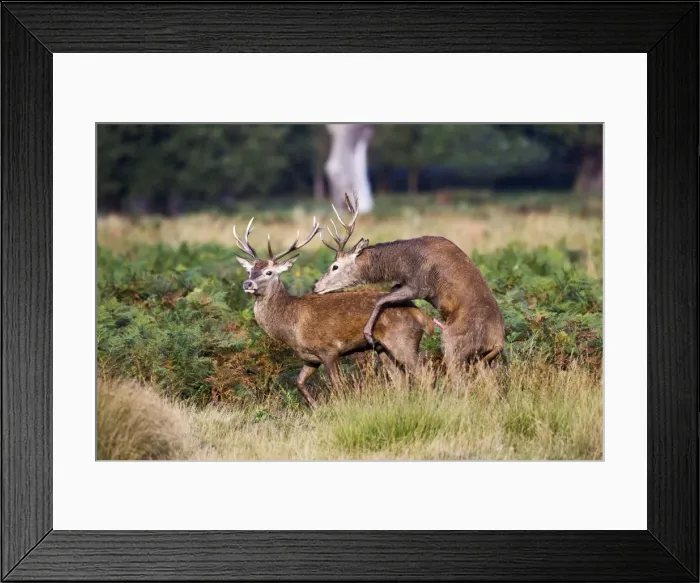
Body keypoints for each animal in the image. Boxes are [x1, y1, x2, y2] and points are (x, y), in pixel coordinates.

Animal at [232, 216, 435, 408]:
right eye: (250, 271)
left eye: (269, 272)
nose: (247, 283)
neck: (291, 325)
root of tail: (421, 314)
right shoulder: (310, 358)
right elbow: (299, 382)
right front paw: (316, 408)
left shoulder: (329, 349)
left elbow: (338, 386)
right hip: (382, 347)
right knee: (400, 380)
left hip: (403, 340)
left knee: (424, 373)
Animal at [312, 192, 506, 371]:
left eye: (335, 266)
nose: (315, 286)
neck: (401, 264)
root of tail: (497, 343)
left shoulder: (420, 285)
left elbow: (381, 299)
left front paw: (368, 335)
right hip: (484, 360)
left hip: (454, 342)